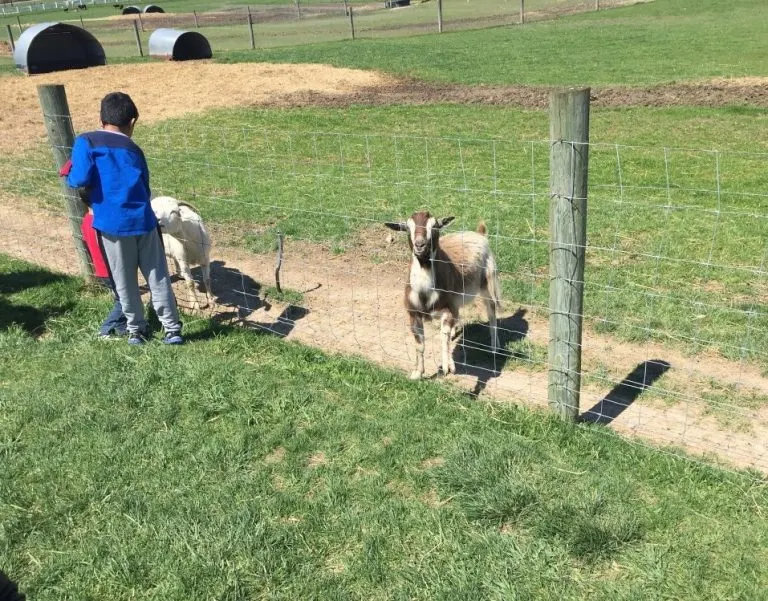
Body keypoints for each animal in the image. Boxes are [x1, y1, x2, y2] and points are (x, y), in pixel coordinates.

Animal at [384, 211, 504, 380]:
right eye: (407, 228)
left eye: (435, 226)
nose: (420, 245)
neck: (424, 293)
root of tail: (479, 233)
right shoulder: (414, 314)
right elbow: (420, 345)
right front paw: (417, 373)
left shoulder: (447, 309)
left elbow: (443, 337)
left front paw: (447, 367)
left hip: (488, 282)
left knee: (492, 311)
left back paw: (494, 347)